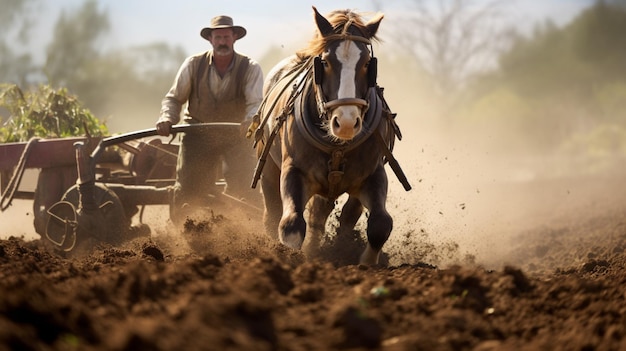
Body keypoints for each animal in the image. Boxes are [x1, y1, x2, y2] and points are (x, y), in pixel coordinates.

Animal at [250, 6, 410, 266]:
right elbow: (291, 224)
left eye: (367, 63)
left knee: (338, 217)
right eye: (324, 61)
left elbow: (380, 224)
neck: (337, 145)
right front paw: (291, 260)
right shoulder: (294, 171)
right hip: (268, 170)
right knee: (273, 215)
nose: (346, 122)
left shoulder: (372, 174)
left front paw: (364, 263)